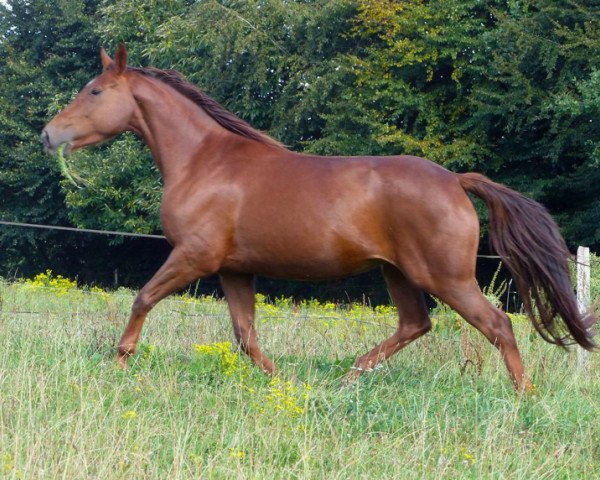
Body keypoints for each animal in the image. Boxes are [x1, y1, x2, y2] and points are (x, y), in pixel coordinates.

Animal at [42, 44, 596, 390]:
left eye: (94, 91)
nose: (49, 135)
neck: (203, 161)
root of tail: (455, 180)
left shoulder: (194, 257)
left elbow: (143, 298)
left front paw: (118, 361)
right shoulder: (233, 269)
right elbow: (245, 336)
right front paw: (280, 382)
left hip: (445, 277)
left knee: (497, 324)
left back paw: (524, 396)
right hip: (398, 273)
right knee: (415, 324)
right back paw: (348, 378)